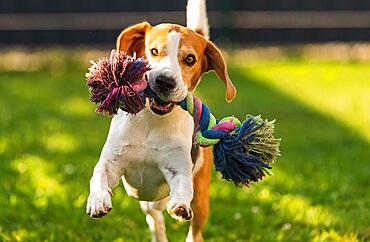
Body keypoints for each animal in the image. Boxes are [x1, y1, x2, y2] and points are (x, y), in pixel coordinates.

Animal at [86, 0, 236, 241]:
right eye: (154, 51)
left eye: (190, 59)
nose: (165, 81)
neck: (152, 121)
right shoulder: (112, 161)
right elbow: (99, 174)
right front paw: (98, 200)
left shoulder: (178, 169)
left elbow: (182, 187)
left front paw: (180, 206)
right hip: (147, 203)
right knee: (154, 217)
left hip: (201, 199)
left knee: (193, 230)